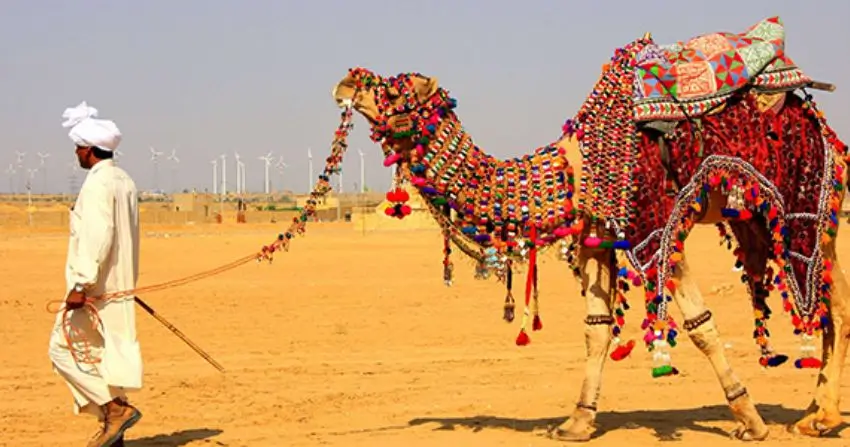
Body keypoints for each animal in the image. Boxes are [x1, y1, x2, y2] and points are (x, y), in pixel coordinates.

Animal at [329, 17, 849, 442]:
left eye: (396, 88)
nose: (345, 79)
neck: (571, 171)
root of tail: (821, 123)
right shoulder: (596, 239)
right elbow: (596, 331)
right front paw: (577, 421)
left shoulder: (656, 229)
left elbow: (700, 325)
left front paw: (750, 420)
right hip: (759, 221)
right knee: (824, 301)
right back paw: (812, 411)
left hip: (807, 208)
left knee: (834, 302)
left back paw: (821, 419)